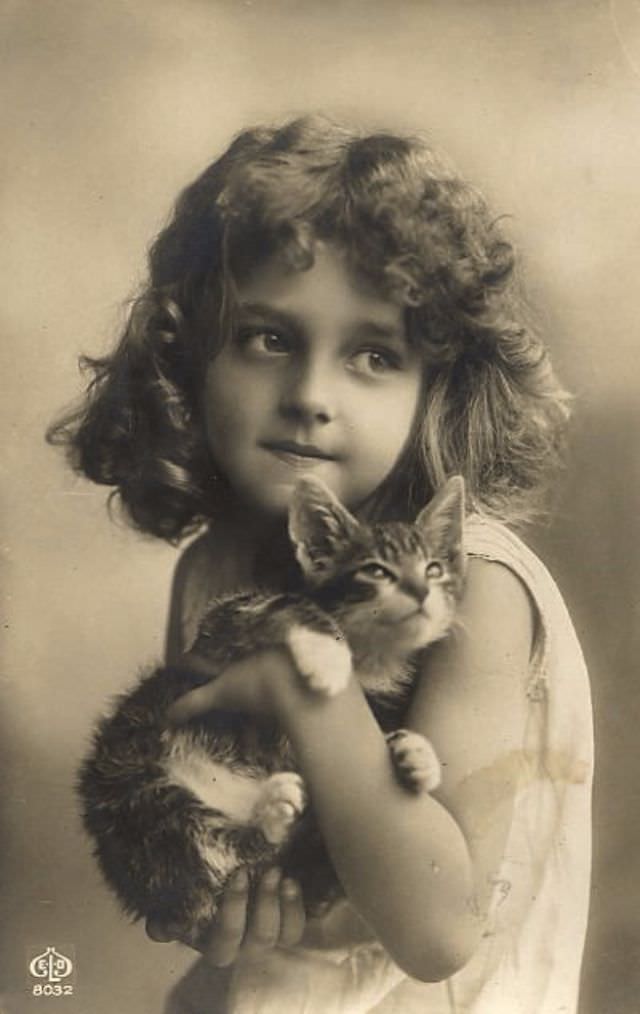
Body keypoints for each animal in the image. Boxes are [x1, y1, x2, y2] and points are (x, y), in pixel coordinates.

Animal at [80, 478, 466, 945]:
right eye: (376, 570)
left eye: (434, 569)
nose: (422, 591)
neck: (373, 658)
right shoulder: (219, 628)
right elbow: (284, 604)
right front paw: (328, 656)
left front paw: (417, 755)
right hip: (133, 790)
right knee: (217, 863)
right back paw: (272, 811)